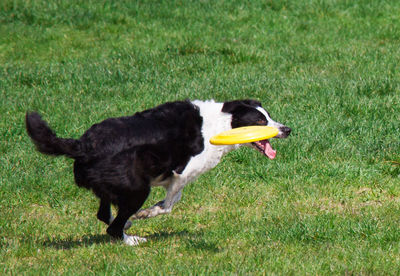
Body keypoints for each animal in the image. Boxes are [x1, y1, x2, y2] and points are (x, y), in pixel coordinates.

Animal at [27, 99, 290, 246]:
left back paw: (127, 225)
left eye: (269, 116)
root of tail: (83, 145)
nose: (287, 129)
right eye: (260, 121)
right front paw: (148, 213)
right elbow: (170, 203)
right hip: (137, 188)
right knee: (113, 227)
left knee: (104, 215)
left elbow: (172, 199)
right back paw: (132, 239)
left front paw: (144, 215)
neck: (221, 123)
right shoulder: (183, 171)